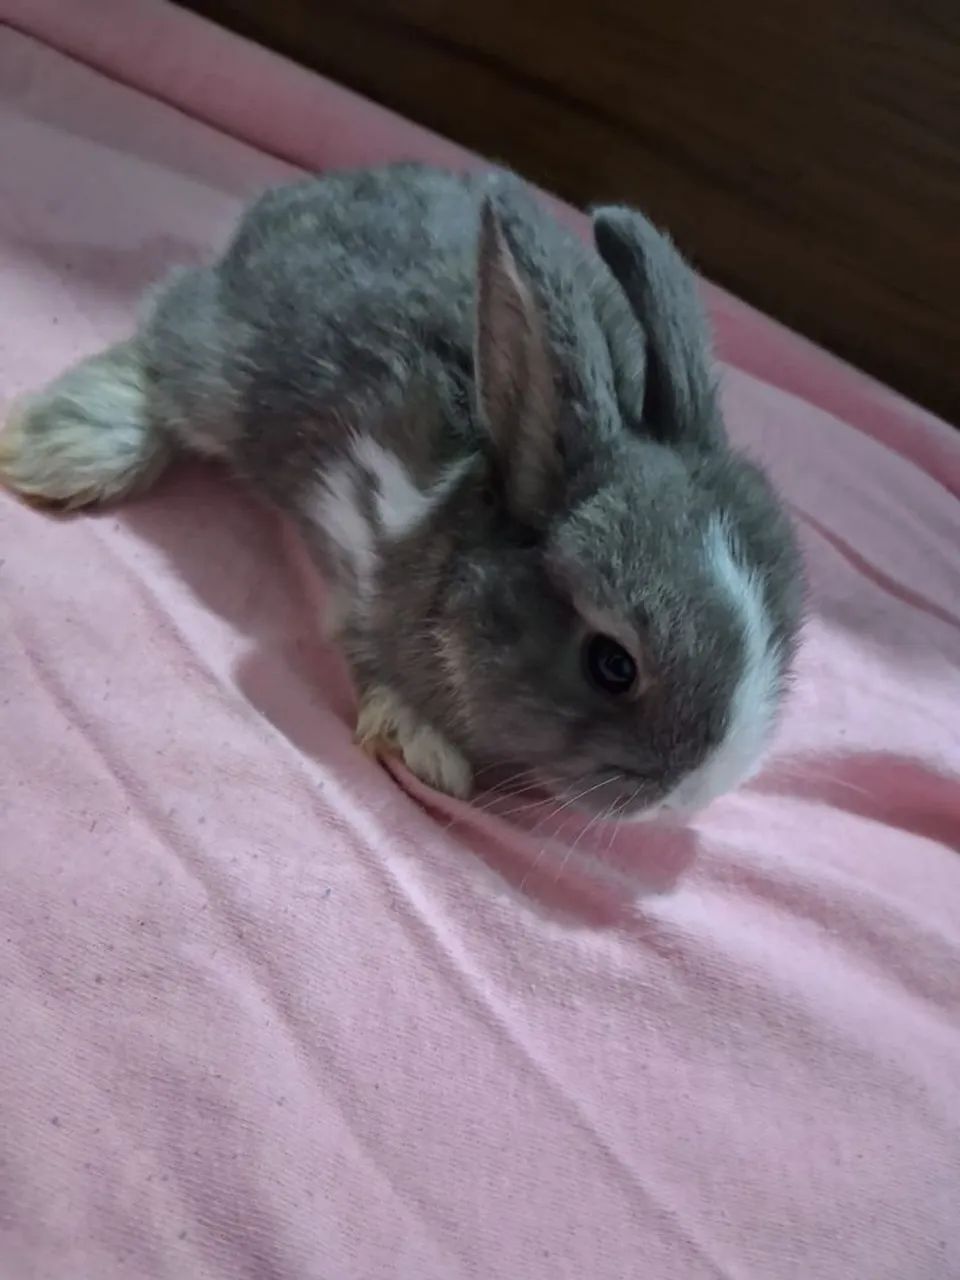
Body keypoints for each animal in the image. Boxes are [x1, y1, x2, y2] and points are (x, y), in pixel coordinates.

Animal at [0, 162, 802, 820]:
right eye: (612, 666)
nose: (693, 792)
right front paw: (422, 740)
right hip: (225, 369)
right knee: (164, 342)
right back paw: (59, 449)